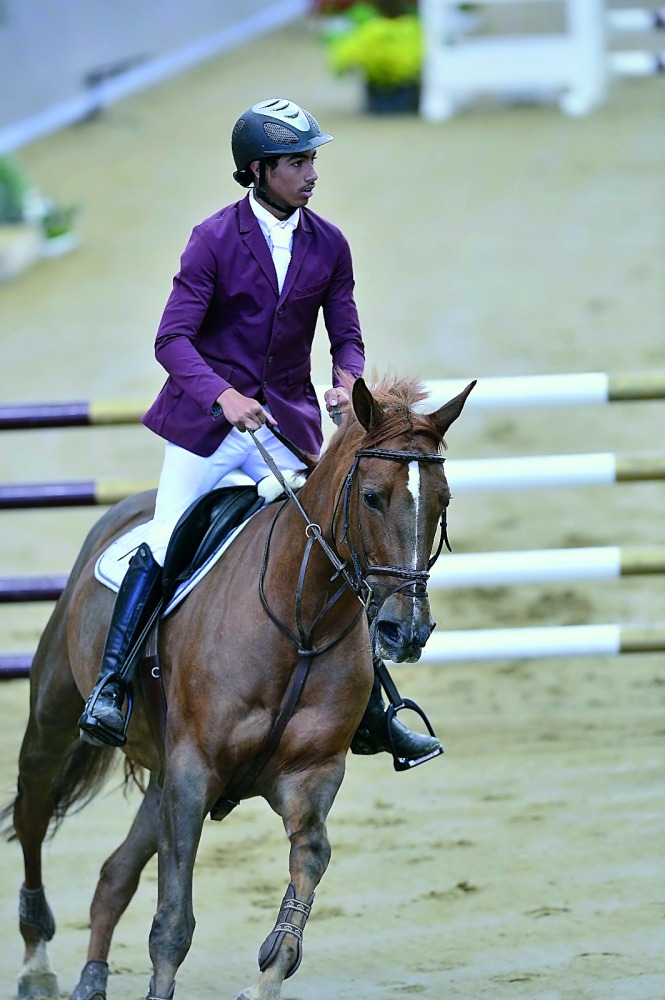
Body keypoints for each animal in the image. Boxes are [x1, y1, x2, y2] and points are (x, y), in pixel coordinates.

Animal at [5, 372, 472, 996]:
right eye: (372, 496)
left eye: (442, 501)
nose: (407, 631)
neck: (299, 620)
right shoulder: (193, 771)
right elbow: (172, 922)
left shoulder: (309, 775)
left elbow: (310, 863)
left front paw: (269, 973)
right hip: (56, 718)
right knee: (32, 815)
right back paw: (36, 963)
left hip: (160, 773)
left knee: (113, 874)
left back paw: (92, 978)